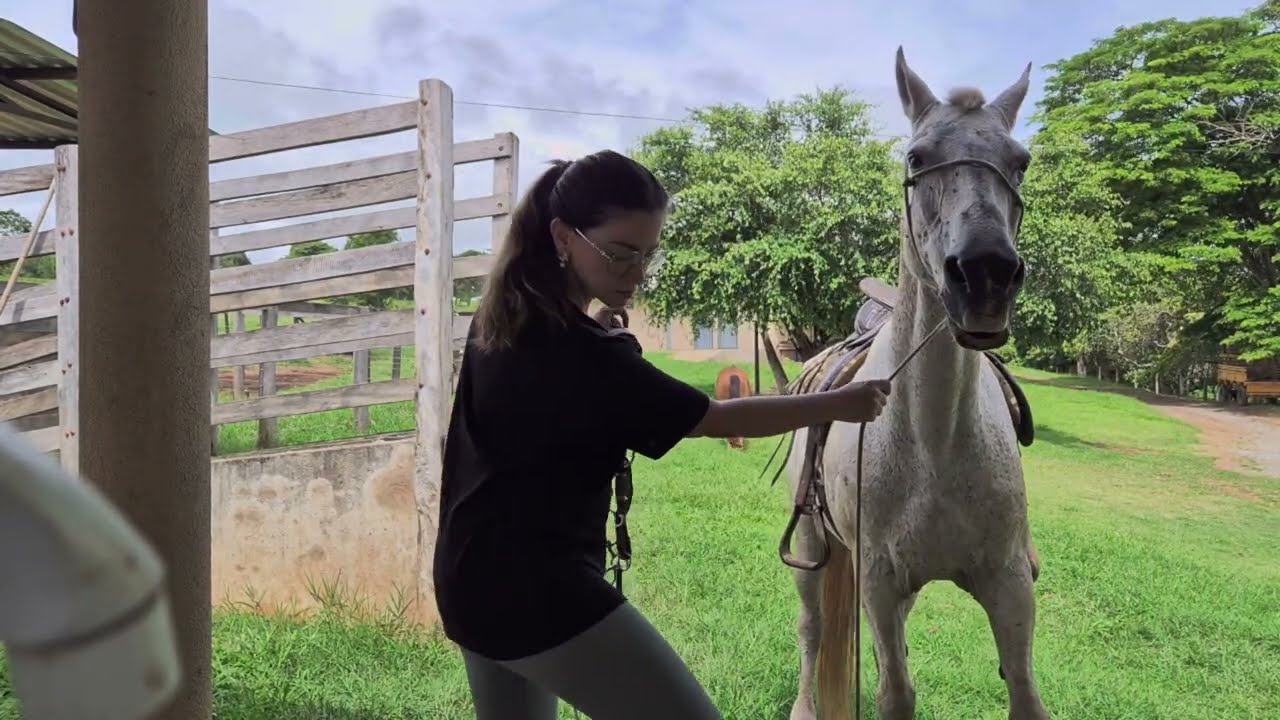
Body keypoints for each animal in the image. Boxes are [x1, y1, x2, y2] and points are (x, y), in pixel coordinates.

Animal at [780, 48, 1049, 720]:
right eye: (916, 158)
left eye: (1021, 162)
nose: (985, 275)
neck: (936, 443)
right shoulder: (879, 580)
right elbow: (894, 693)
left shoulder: (1009, 583)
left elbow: (1024, 692)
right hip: (813, 549)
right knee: (812, 628)